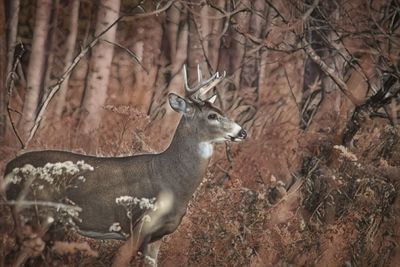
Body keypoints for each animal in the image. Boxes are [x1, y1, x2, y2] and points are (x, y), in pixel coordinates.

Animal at [3, 64, 247, 266]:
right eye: (212, 115)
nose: (242, 132)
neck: (172, 181)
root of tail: (7, 169)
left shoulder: (157, 236)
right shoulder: (138, 225)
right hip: (34, 212)